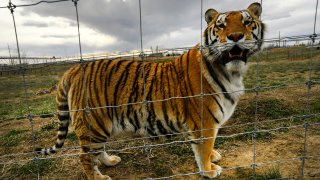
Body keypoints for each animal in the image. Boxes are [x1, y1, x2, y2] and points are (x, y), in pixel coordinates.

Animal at [36, 2, 264, 180]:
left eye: (247, 22)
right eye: (221, 25)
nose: (235, 36)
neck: (231, 71)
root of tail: (73, 68)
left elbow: (207, 145)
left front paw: (213, 157)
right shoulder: (204, 122)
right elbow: (203, 147)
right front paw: (209, 170)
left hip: (101, 125)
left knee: (96, 152)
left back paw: (110, 161)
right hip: (93, 124)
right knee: (84, 156)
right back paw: (98, 177)